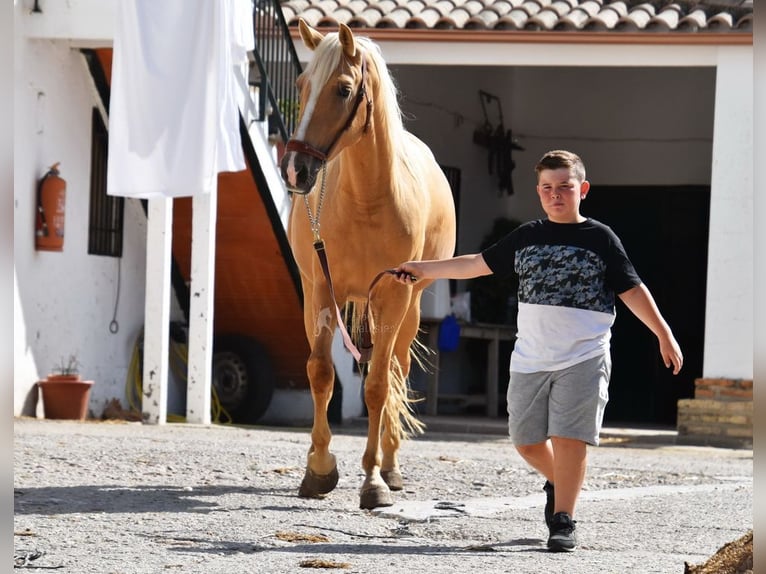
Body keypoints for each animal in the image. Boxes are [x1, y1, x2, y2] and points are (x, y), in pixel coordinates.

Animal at [280, 20, 456, 510]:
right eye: (302, 85)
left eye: (343, 89)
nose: (294, 169)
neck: (365, 199)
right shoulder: (321, 291)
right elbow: (321, 373)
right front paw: (320, 468)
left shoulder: (394, 293)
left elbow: (378, 384)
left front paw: (374, 479)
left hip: (408, 309)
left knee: (395, 369)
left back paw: (392, 466)